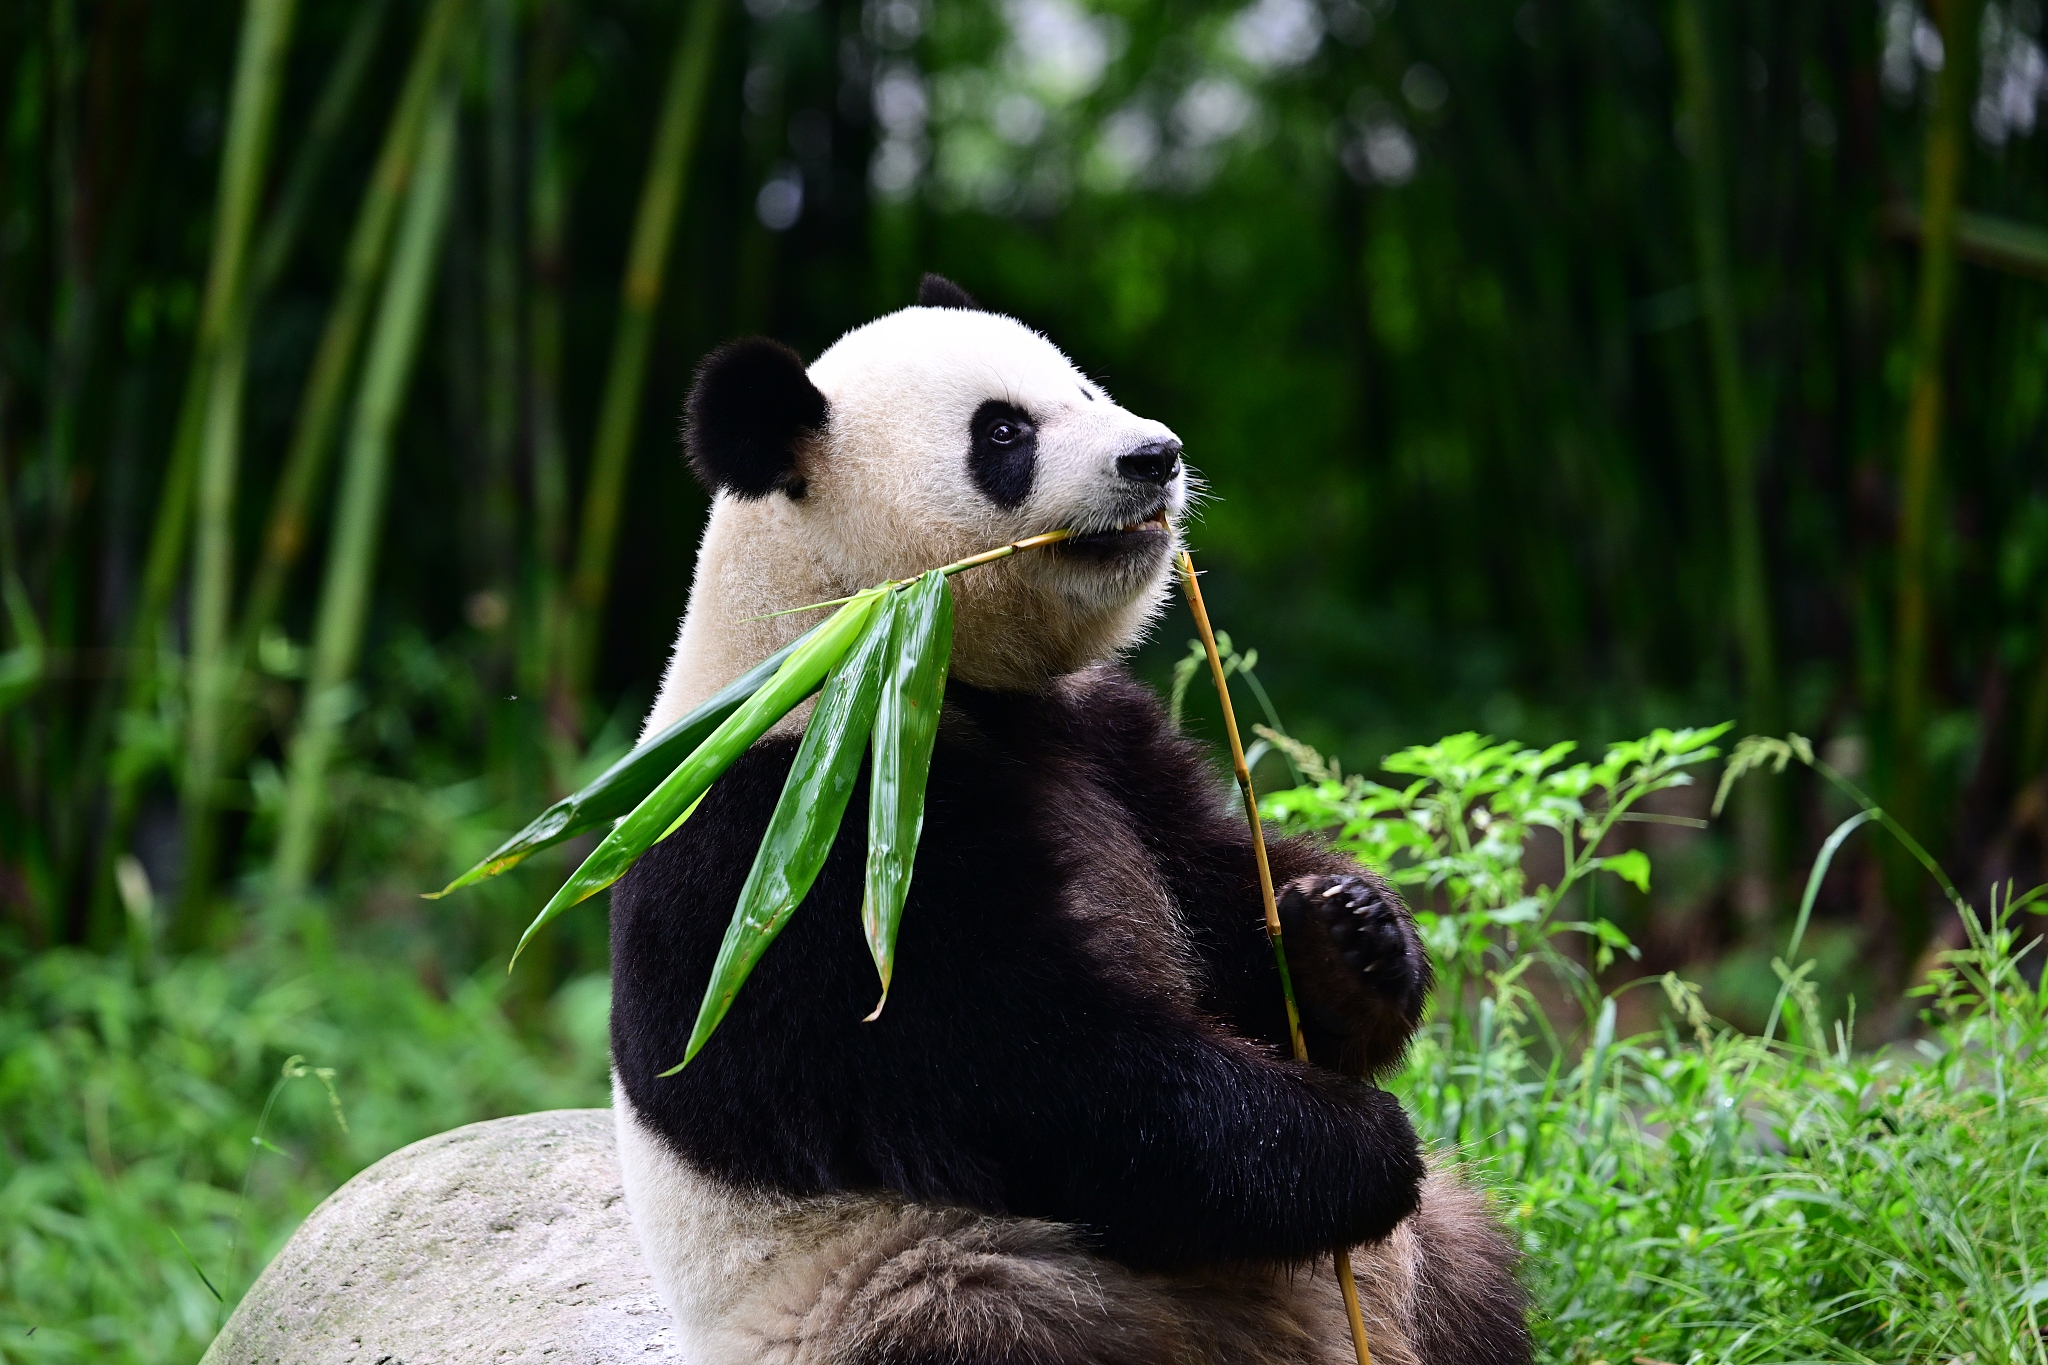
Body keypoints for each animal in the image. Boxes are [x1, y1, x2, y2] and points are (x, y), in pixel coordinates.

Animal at [598, 278, 1531, 1365]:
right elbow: (1028, 1071)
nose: (1155, 456)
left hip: (1412, 1271)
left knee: (1472, 1269)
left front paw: (1348, 938)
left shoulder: (1102, 735)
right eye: (1002, 432)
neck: (860, 631)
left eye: (1084, 388)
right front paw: (1355, 1144)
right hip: (939, 1288)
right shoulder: (799, 839)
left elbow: (1210, 902)